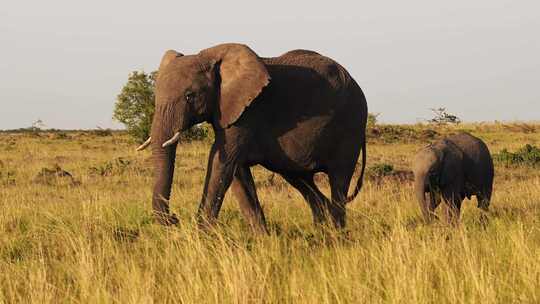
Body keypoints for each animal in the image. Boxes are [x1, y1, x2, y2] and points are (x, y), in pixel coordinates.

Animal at [137, 43, 370, 233]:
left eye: (189, 96)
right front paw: (263, 239)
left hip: (350, 126)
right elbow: (236, 173)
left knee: (338, 182)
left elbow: (221, 163)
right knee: (303, 181)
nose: (174, 219)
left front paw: (201, 236)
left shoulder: (248, 111)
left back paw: (336, 237)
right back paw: (321, 234)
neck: (210, 57)